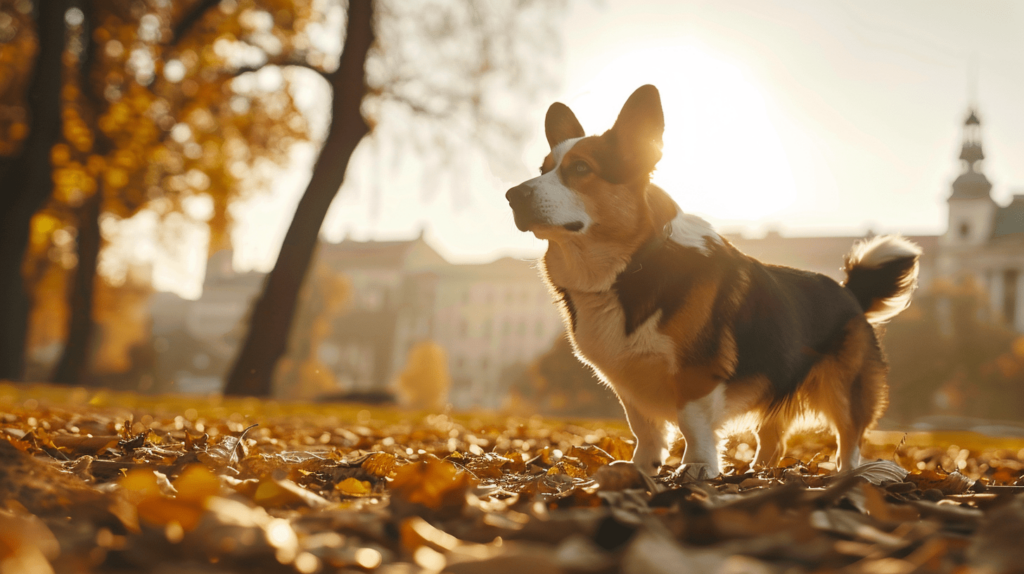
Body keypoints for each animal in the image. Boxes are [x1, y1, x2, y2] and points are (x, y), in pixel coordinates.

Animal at [507, 84, 925, 476]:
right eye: (543, 169)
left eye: (581, 169)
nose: (512, 195)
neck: (631, 265)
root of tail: (849, 293)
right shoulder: (629, 382)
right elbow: (645, 429)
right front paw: (643, 467)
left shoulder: (697, 374)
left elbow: (692, 424)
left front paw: (697, 467)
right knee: (774, 441)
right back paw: (759, 473)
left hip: (844, 391)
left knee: (849, 439)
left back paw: (845, 475)